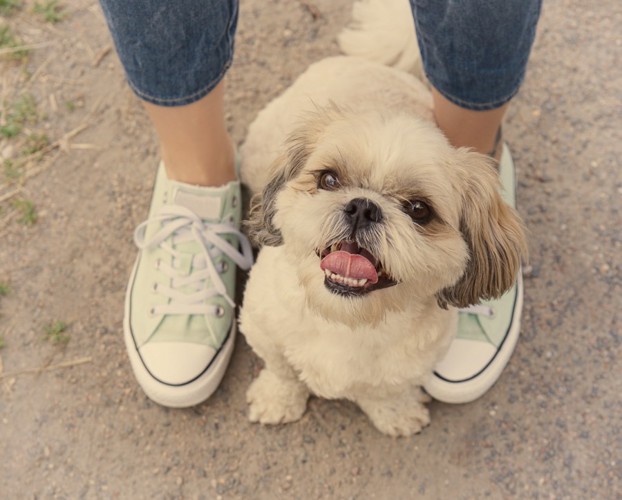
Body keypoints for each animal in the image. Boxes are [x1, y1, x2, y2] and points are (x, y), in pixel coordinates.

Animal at [236, 0, 528, 436]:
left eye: (419, 210)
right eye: (329, 179)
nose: (363, 206)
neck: (345, 320)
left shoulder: (411, 364)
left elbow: (385, 391)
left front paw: (396, 413)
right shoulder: (263, 329)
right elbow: (282, 369)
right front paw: (278, 399)